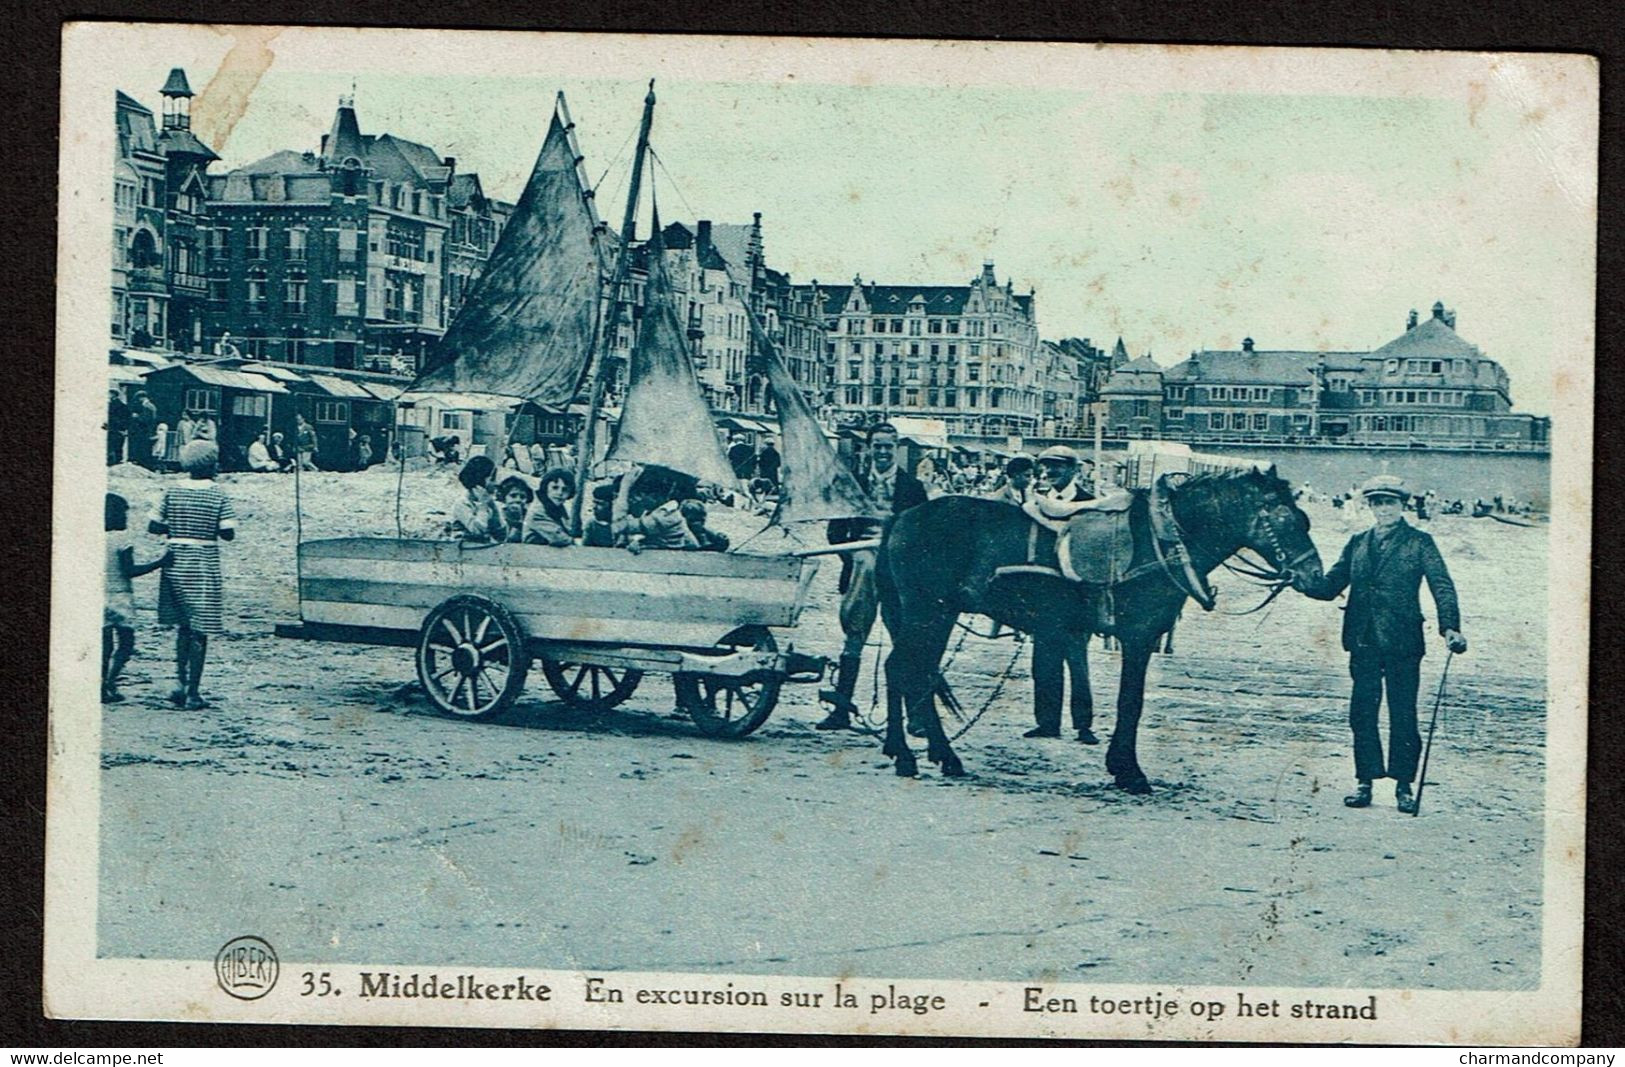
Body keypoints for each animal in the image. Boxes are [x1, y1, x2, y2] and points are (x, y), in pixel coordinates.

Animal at [877, 467, 1319, 789]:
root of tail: (902, 517)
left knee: (910, 672)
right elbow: (1131, 703)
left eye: (1304, 519)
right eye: (1287, 520)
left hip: (936, 614)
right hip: (928, 612)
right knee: (904, 670)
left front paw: (1120, 765)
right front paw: (1129, 771)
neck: (1164, 540)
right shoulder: (1139, 636)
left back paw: (926, 752)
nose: (1318, 578)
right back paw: (912, 755)